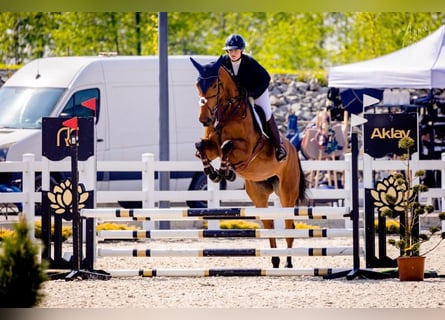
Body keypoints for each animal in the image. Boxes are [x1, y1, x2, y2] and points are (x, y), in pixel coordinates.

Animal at [189, 56, 306, 268]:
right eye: (197, 85)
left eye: (214, 85)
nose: (204, 120)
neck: (226, 112)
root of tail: (294, 150)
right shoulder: (211, 147)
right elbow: (201, 145)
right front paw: (213, 172)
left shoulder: (247, 149)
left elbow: (227, 145)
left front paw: (225, 172)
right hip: (258, 193)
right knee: (269, 224)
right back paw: (275, 259)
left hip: (287, 192)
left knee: (288, 224)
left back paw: (288, 262)